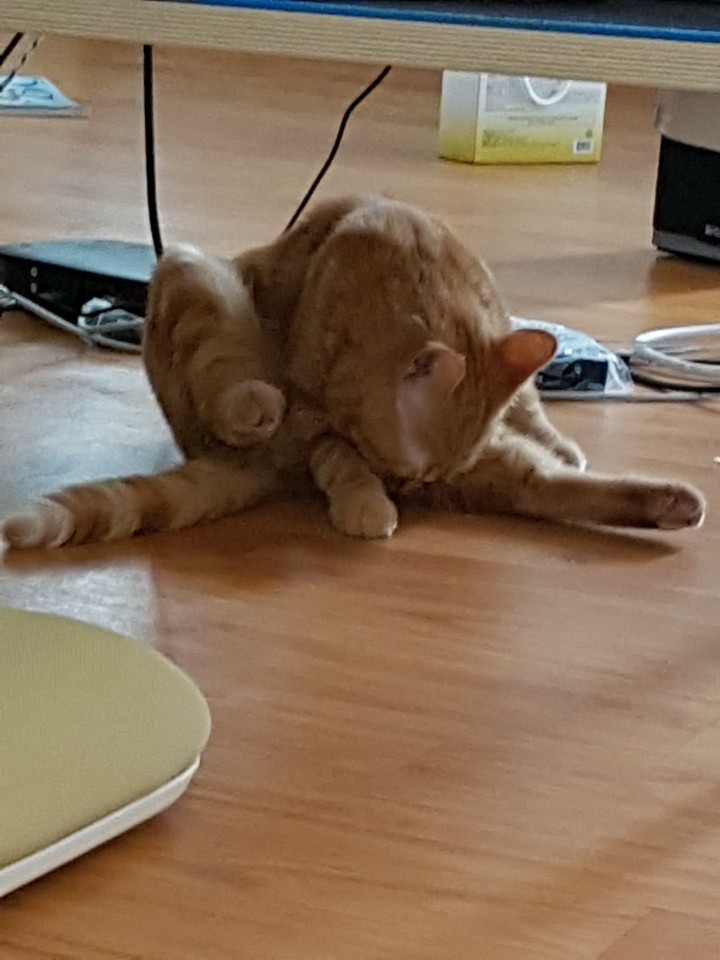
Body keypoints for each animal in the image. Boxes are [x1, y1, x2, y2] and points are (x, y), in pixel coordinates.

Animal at [2, 195, 706, 549]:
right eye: (402, 470)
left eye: (422, 475)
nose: (413, 490)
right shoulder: (323, 418)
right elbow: (340, 457)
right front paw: (366, 502)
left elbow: (529, 404)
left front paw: (558, 436)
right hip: (192, 275)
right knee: (229, 392)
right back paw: (256, 407)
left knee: (545, 488)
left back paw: (673, 504)